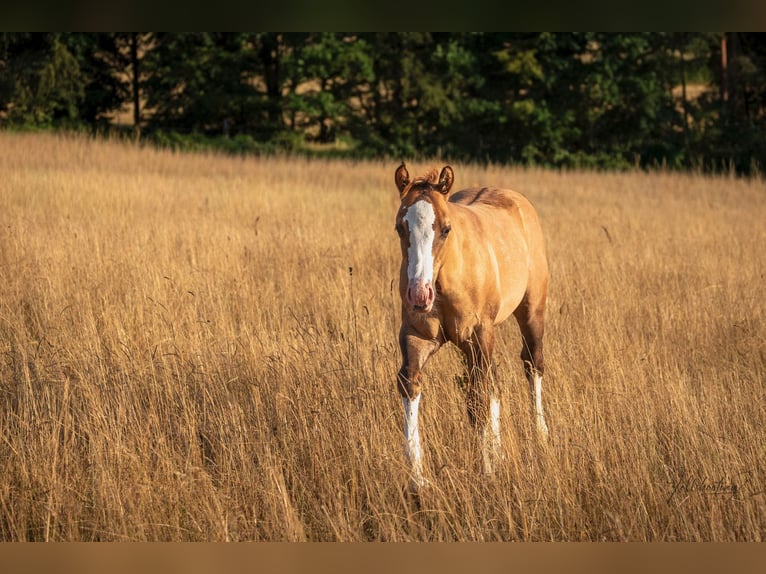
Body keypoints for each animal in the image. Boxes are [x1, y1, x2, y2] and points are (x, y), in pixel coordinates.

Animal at [393, 163, 550, 491]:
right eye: (401, 227)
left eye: (446, 229)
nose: (419, 295)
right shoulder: (418, 335)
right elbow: (410, 384)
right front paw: (417, 480)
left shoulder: (478, 335)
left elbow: (477, 401)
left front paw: (486, 470)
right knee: (494, 381)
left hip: (530, 312)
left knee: (532, 365)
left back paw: (540, 437)